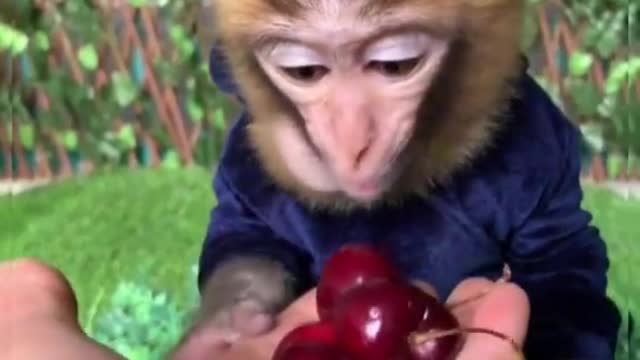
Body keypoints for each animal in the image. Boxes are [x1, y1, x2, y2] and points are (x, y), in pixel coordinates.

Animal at [178, 1, 624, 358]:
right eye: (304, 72)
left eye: (396, 65)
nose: (352, 143)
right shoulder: (244, 162)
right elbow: (243, 234)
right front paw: (227, 324)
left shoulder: (543, 151)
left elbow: (566, 254)